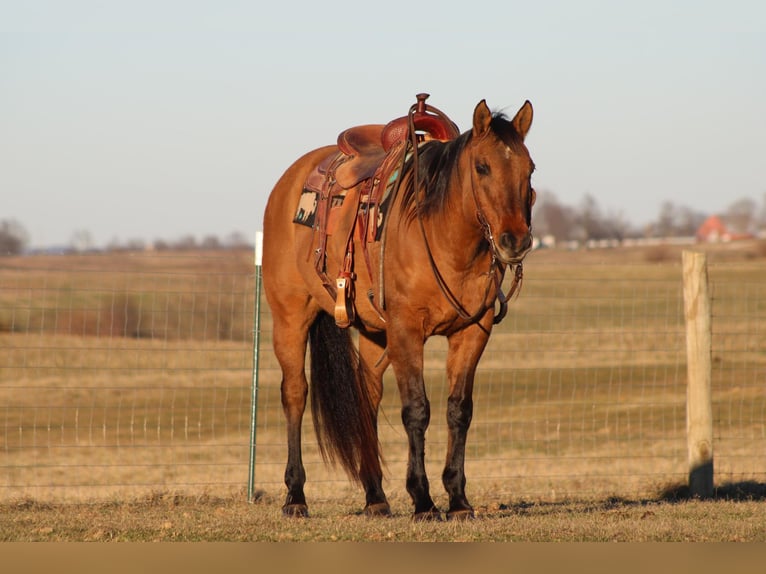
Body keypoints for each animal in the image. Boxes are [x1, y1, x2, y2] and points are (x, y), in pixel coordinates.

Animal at [260, 95, 536, 520]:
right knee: (294, 395)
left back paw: (375, 496)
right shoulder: (407, 331)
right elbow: (416, 410)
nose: (515, 241)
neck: (444, 237)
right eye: (482, 166)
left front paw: (458, 499)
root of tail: (289, 181)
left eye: (529, 168)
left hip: (374, 332)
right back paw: (295, 496)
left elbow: (459, 410)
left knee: (367, 399)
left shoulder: (472, 332)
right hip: (290, 319)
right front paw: (423, 500)